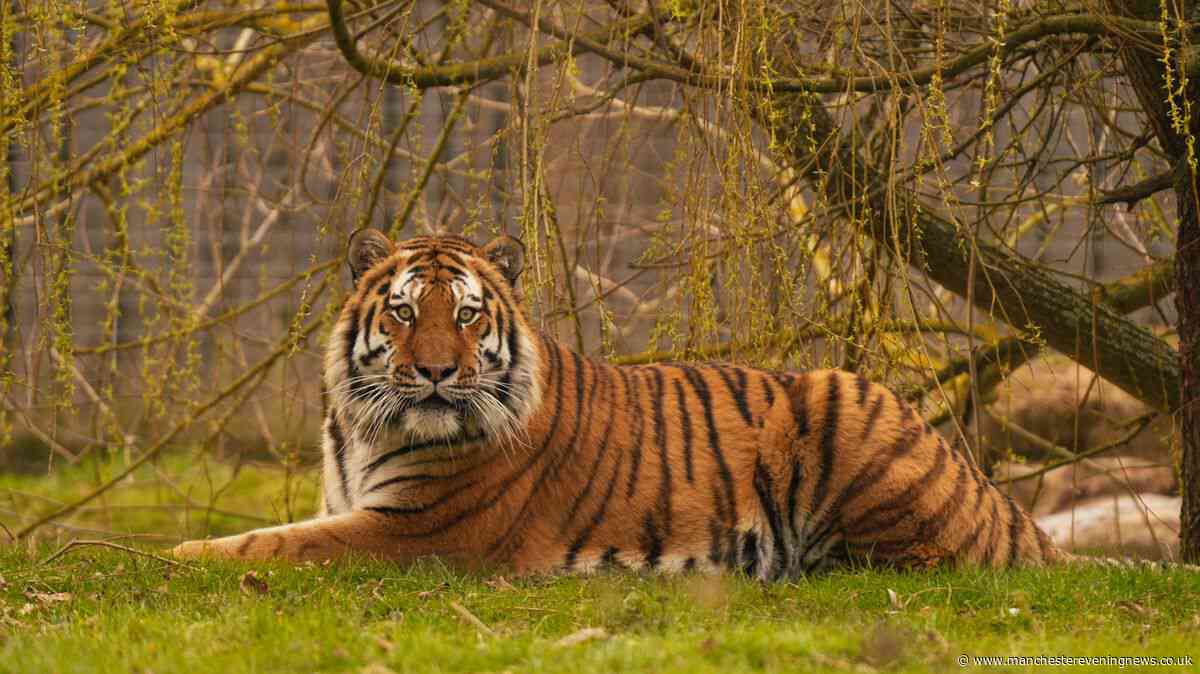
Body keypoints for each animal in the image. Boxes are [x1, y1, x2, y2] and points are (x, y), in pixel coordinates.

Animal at [172, 230, 1072, 578]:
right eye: (400, 312)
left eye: (465, 315)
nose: (432, 372)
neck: (361, 429)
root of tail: (999, 502)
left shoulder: (416, 530)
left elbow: (263, 545)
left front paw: (151, 553)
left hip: (845, 406)